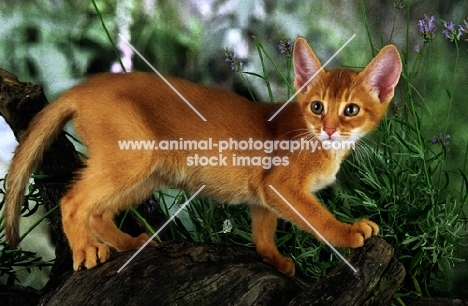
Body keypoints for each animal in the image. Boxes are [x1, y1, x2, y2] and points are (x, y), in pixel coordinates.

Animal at [2, 37, 402, 274]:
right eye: (317, 106)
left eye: (351, 110)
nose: (330, 128)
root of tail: (82, 88)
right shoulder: (282, 186)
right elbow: (318, 219)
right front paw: (349, 232)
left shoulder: (263, 193)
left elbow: (263, 232)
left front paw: (274, 261)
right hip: (134, 160)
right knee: (73, 201)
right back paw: (86, 251)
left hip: (148, 174)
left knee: (99, 211)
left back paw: (131, 243)